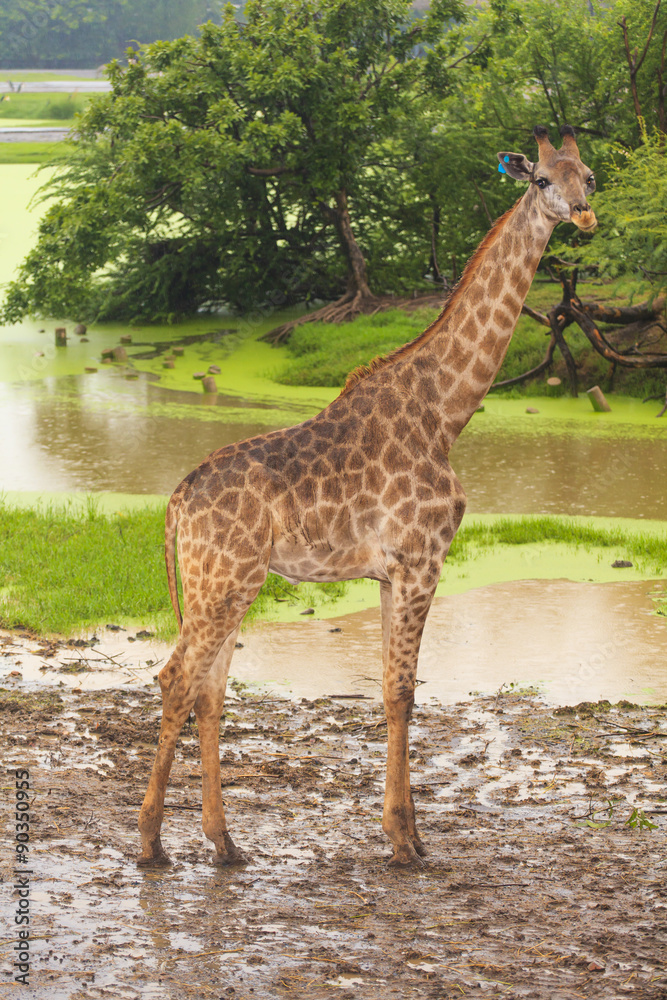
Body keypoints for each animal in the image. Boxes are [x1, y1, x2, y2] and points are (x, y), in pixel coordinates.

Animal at [138, 125, 596, 868]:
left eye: (589, 174)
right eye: (540, 181)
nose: (583, 215)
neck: (448, 411)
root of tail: (176, 503)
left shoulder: (390, 572)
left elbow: (389, 690)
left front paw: (402, 831)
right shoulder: (421, 560)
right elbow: (403, 691)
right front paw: (406, 840)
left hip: (227, 582)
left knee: (210, 688)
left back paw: (224, 841)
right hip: (222, 580)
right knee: (177, 677)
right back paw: (151, 841)